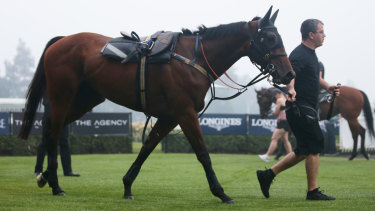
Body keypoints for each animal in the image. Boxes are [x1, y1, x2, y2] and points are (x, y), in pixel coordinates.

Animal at [19, 6, 296, 203]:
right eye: (270, 37)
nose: (288, 74)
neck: (192, 59)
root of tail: (61, 41)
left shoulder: (169, 117)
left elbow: (146, 148)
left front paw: (127, 184)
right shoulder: (185, 113)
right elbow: (203, 154)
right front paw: (220, 192)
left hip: (86, 99)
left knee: (50, 131)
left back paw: (46, 177)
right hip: (63, 96)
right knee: (53, 131)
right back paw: (56, 184)